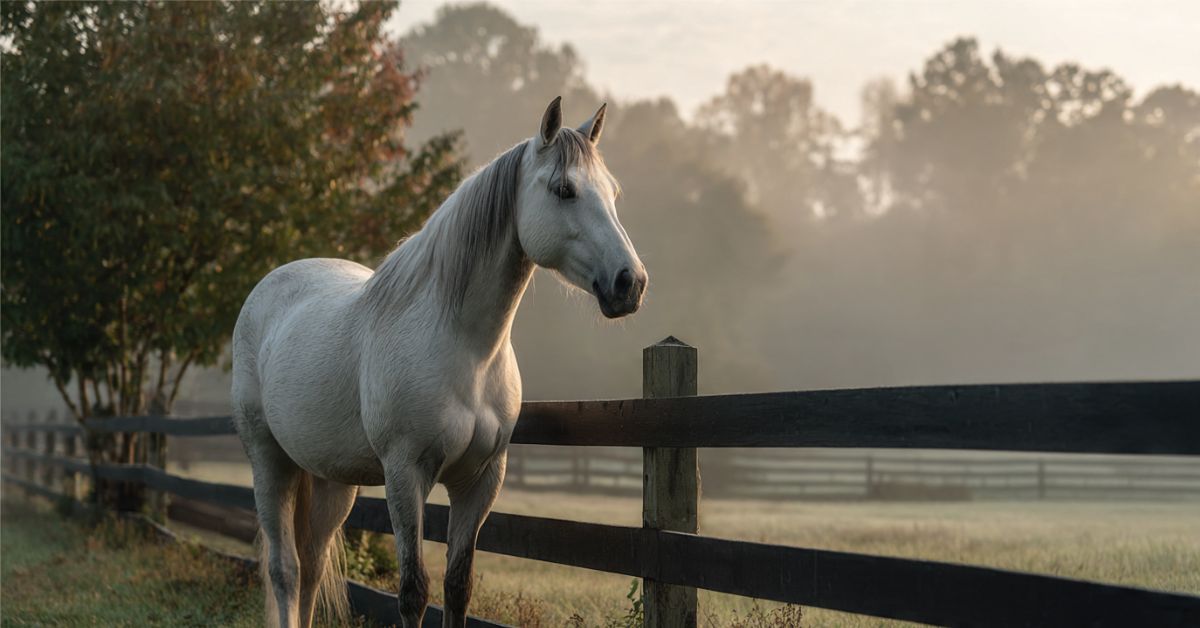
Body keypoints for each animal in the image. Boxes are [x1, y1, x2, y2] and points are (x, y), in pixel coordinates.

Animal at [231, 97, 647, 628]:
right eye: (564, 190)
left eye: (612, 191)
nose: (630, 283)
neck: (465, 349)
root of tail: (269, 286)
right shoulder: (406, 475)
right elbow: (414, 590)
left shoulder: (480, 482)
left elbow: (457, 585)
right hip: (269, 461)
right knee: (284, 568)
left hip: (329, 480)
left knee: (310, 566)